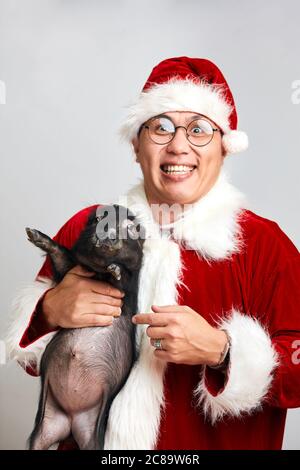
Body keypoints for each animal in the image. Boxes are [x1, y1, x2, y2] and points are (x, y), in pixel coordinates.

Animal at [26, 204, 145, 450]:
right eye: (99, 220)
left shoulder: (128, 286)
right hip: (45, 425)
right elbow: (61, 257)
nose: (108, 235)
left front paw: (115, 269)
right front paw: (32, 233)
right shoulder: (69, 269)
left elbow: (121, 278)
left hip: (92, 434)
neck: (98, 273)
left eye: (129, 227)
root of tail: (71, 421)